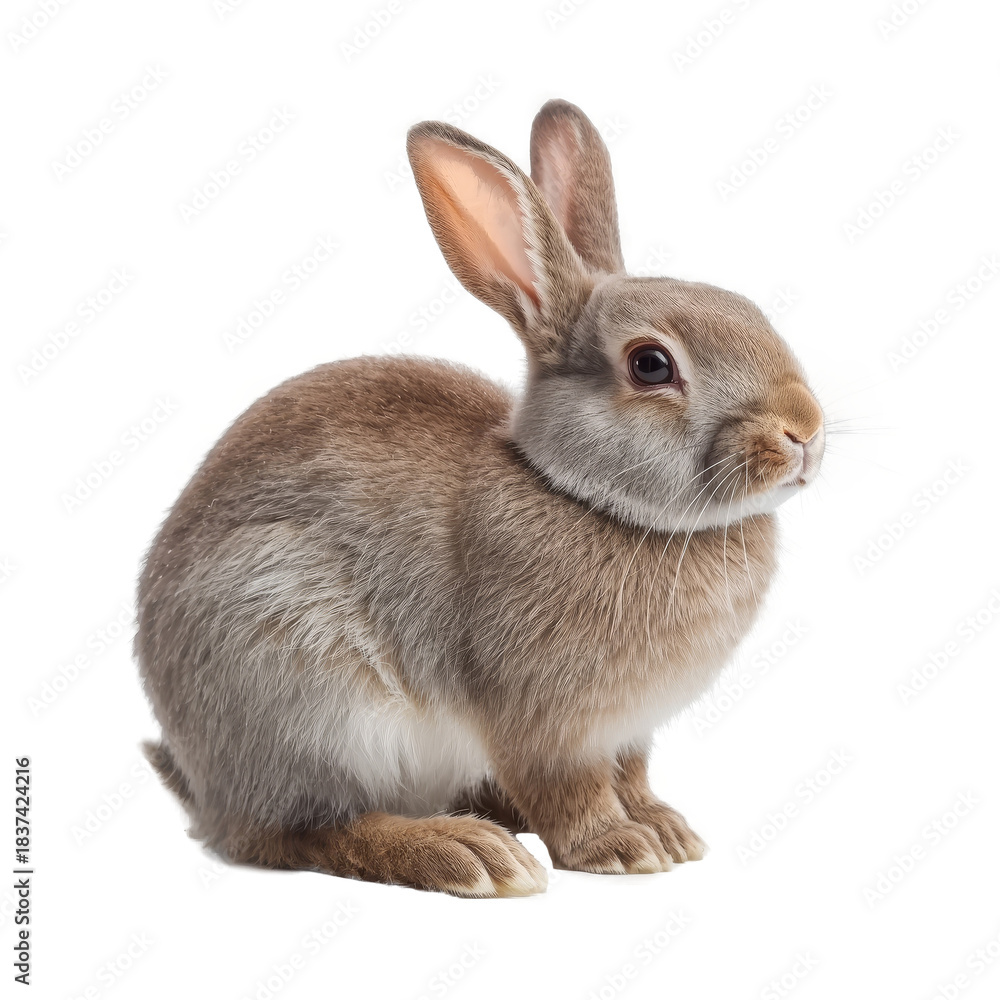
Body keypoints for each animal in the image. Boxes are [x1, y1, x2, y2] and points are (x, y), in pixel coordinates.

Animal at [136, 98, 824, 897]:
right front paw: (620, 848)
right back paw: (465, 852)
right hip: (300, 691)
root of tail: (202, 781)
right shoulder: (541, 720)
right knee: (301, 833)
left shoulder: (628, 733)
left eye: (750, 310)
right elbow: (569, 790)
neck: (587, 497)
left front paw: (669, 831)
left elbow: (633, 776)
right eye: (651, 365)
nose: (804, 430)